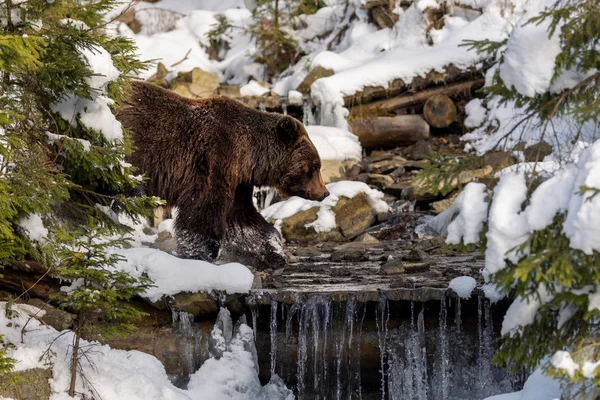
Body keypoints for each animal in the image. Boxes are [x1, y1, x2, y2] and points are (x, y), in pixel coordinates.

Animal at [117, 81, 328, 268]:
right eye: (315, 166)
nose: (324, 192)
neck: (250, 155)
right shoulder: (214, 161)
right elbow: (203, 212)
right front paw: (199, 254)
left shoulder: (238, 182)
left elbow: (244, 219)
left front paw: (273, 251)